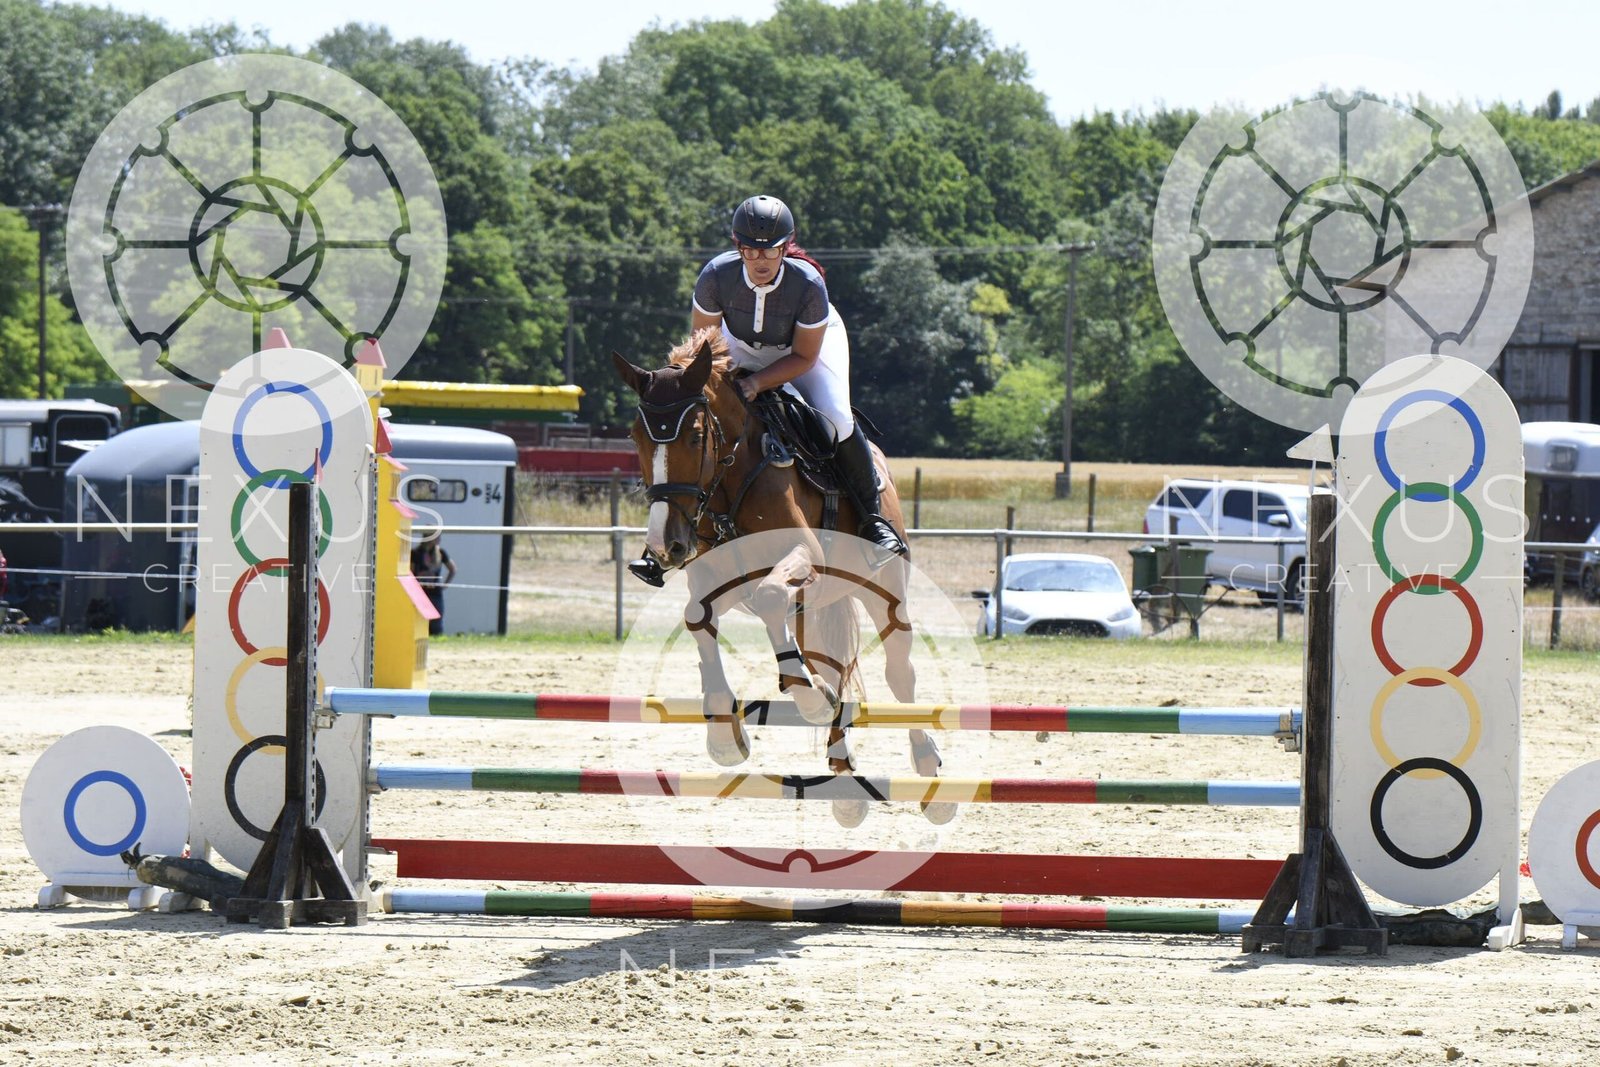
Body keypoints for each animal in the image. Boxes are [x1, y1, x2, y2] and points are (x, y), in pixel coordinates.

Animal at [612, 328, 950, 826]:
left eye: (695, 436)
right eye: (635, 436)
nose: (664, 545)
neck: (730, 480)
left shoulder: (803, 558)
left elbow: (772, 594)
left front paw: (808, 699)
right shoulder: (718, 581)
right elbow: (697, 617)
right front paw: (724, 733)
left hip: (883, 590)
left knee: (899, 672)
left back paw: (927, 770)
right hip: (813, 604)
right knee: (827, 662)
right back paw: (844, 778)